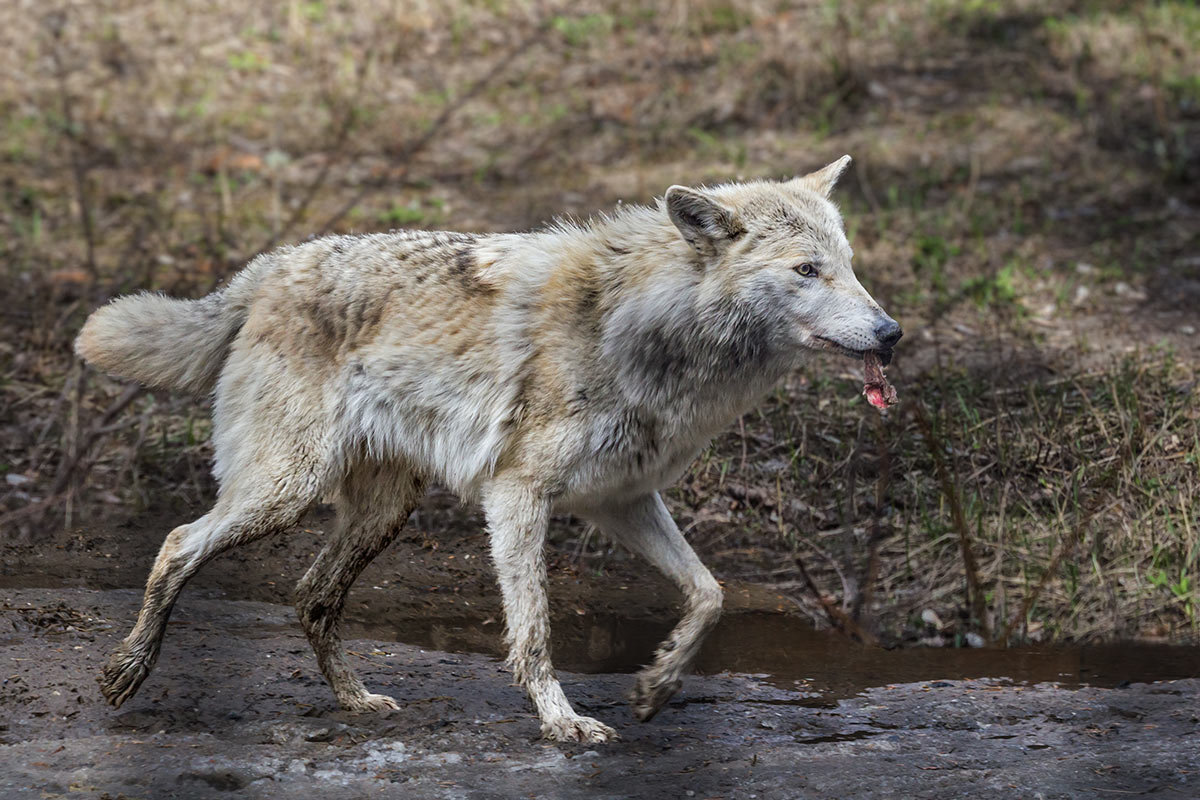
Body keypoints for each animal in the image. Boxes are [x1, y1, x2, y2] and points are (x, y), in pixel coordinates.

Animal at [75, 155, 902, 743]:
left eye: (850, 265)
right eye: (807, 271)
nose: (891, 333)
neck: (653, 331)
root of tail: (268, 266)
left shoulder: (623, 501)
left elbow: (710, 594)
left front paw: (656, 686)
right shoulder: (518, 495)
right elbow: (534, 630)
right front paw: (562, 722)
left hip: (382, 511)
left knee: (311, 595)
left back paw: (356, 701)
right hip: (287, 491)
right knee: (179, 543)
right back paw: (125, 672)